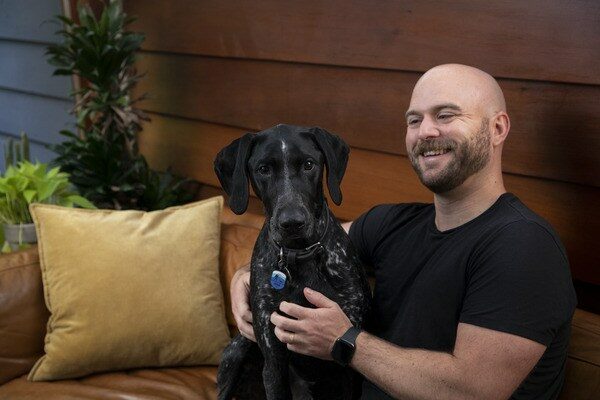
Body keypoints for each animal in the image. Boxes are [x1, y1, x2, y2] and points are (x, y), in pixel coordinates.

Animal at [213, 125, 372, 400]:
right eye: (263, 169)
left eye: (309, 164)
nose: (292, 222)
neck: (300, 253)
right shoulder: (274, 361)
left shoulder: (348, 372)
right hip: (238, 348)